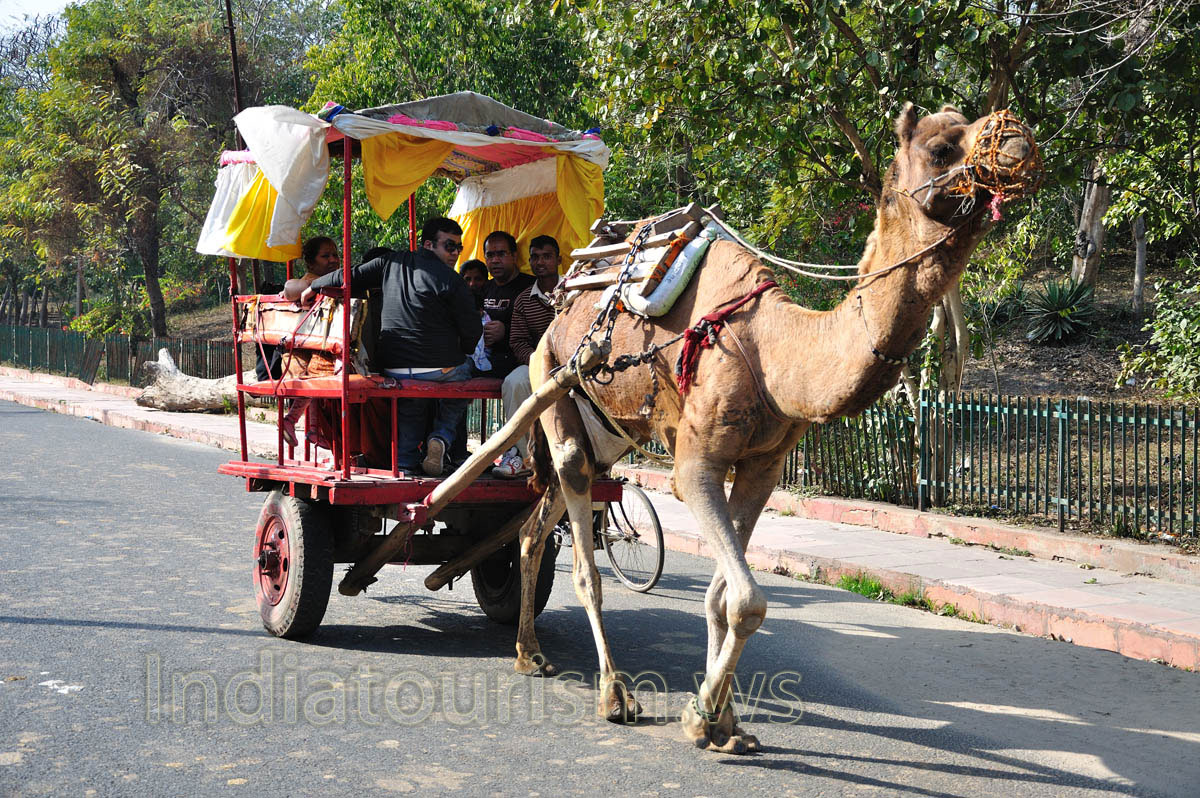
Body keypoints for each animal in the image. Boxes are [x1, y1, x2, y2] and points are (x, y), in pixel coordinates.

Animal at [511, 103, 1042, 753]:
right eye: (943, 147)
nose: (1020, 141)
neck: (774, 350)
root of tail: (561, 305)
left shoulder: (762, 467)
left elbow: (720, 596)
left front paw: (725, 724)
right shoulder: (696, 466)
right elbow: (746, 600)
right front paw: (700, 717)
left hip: (610, 431)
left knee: (536, 527)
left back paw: (529, 652)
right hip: (552, 384)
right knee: (582, 541)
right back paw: (614, 694)